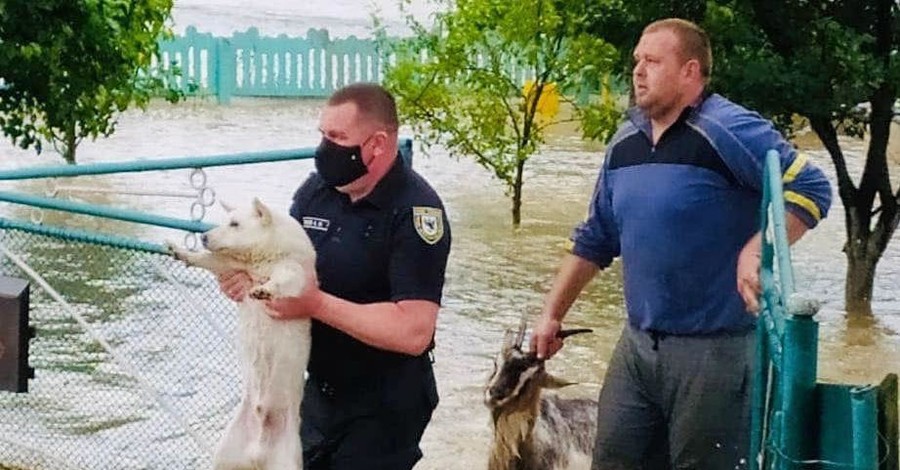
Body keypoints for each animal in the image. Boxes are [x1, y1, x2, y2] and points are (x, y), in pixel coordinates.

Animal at [171, 198, 314, 470]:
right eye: (226, 220)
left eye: (235, 223)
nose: (204, 236)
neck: (260, 258)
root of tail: (257, 453)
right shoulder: (234, 265)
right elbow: (212, 260)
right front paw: (180, 251)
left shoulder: (296, 266)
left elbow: (287, 277)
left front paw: (264, 290)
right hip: (229, 443)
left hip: (289, 454)